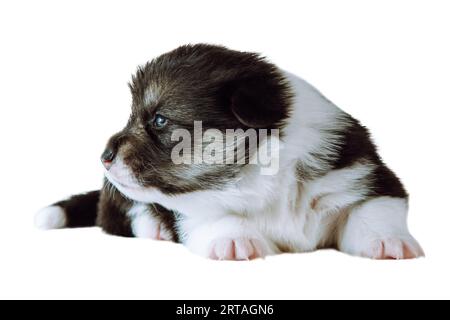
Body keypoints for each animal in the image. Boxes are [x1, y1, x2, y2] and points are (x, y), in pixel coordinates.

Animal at [34, 43, 422, 260]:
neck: (260, 177)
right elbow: (215, 214)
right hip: (117, 198)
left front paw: (389, 243)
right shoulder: (195, 207)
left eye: (159, 119)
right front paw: (236, 242)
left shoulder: (365, 175)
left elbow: (373, 209)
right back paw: (154, 227)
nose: (104, 156)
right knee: (114, 215)